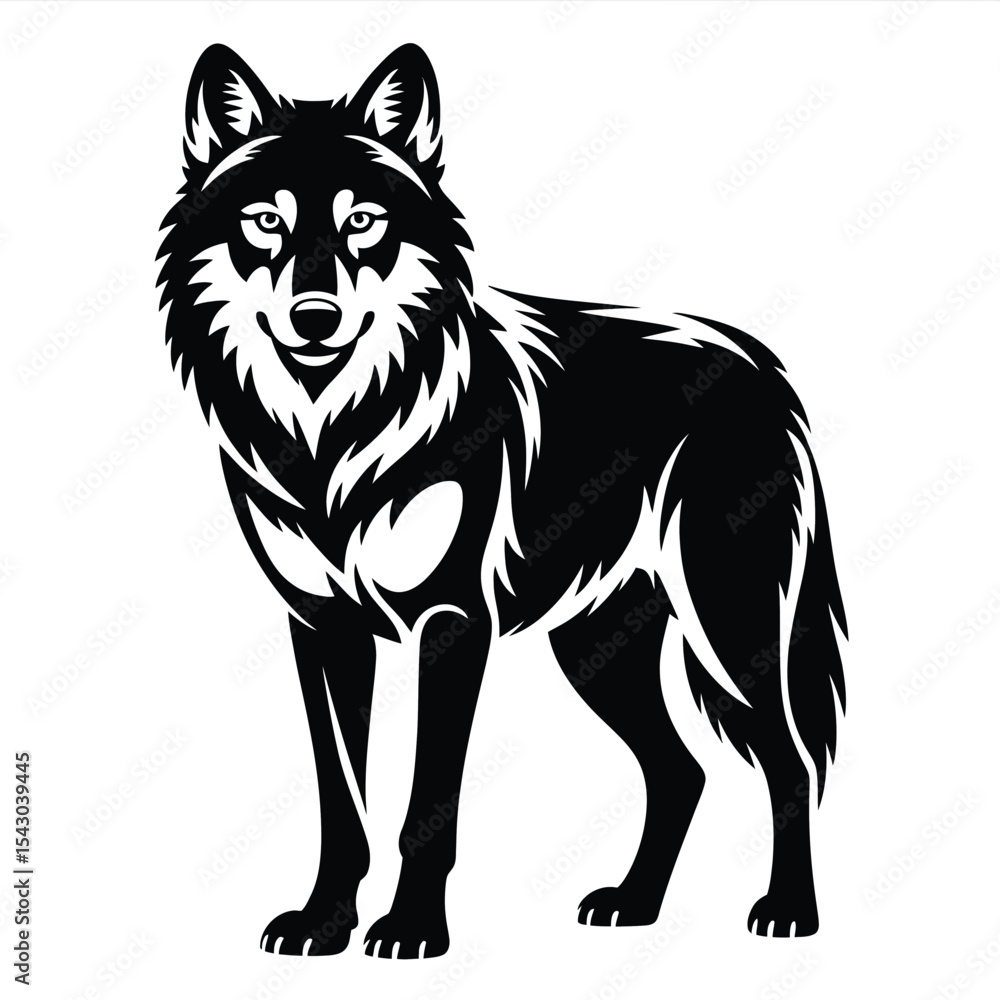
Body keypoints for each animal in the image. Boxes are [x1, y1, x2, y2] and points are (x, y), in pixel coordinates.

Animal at [156, 43, 847, 958]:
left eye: (363, 222)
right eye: (265, 222)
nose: (315, 316)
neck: (336, 432)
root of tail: (765, 368)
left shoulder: (450, 622)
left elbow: (426, 806)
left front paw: (412, 928)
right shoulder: (324, 627)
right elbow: (342, 803)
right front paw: (325, 921)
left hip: (725, 627)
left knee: (789, 759)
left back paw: (789, 912)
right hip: (596, 651)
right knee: (682, 770)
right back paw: (634, 904)